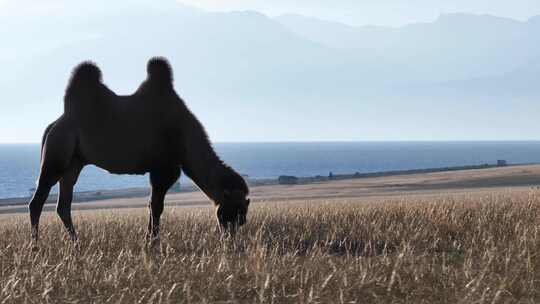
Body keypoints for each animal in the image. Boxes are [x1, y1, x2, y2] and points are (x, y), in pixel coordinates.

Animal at [28, 56, 250, 242]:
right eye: (233, 212)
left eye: (241, 217)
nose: (231, 241)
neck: (184, 137)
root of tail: (55, 124)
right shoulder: (163, 169)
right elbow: (156, 207)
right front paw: (152, 243)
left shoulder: (161, 170)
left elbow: (152, 206)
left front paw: (150, 241)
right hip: (57, 154)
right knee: (38, 201)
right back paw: (36, 246)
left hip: (74, 162)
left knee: (63, 204)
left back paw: (76, 244)